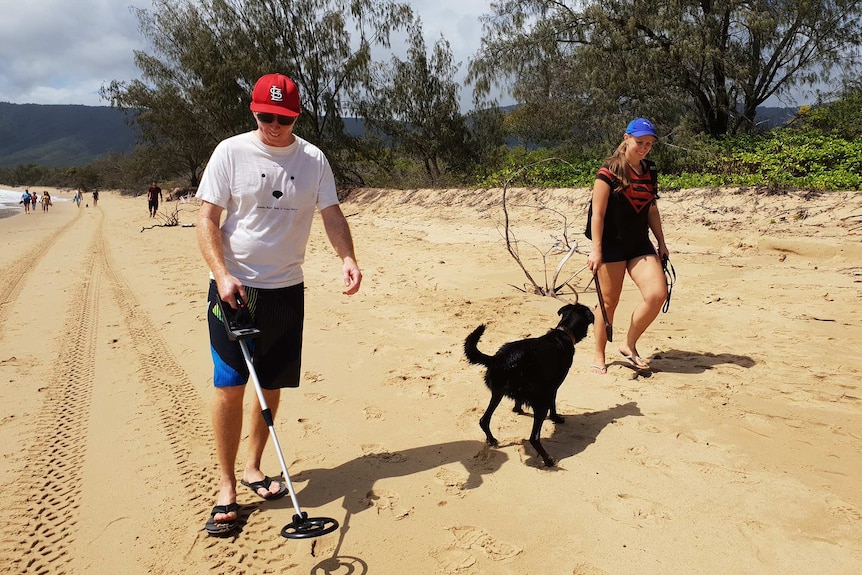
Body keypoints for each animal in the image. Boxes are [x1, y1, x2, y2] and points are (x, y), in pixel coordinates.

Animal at [466, 304, 592, 466]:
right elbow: (554, 404)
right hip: (540, 401)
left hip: (498, 392)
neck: (564, 332)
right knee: (534, 438)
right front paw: (556, 418)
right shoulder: (553, 387)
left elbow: (518, 402)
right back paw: (548, 460)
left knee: (484, 420)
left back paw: (492, 440)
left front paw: (517, 410)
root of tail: (497, 359)